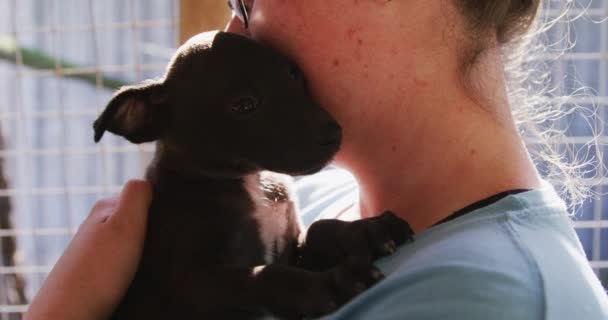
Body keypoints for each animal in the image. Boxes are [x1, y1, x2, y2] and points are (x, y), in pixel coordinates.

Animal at [92, 30, 414, 320]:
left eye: (293, 74)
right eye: (244, 105)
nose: (334, 135)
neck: (251, 182)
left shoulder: (289, 248)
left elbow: (317, 228)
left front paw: (368, 230)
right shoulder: (189, 285)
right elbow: (268, 275)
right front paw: (333, 283)